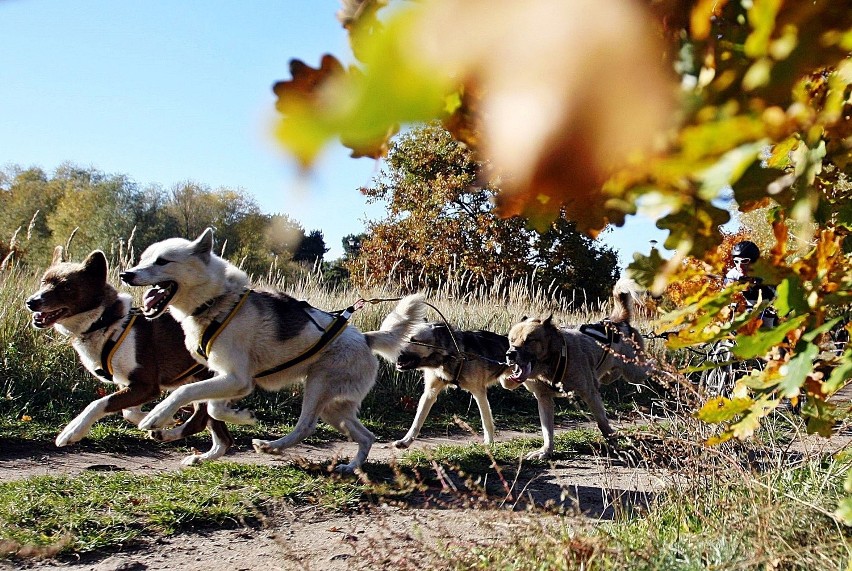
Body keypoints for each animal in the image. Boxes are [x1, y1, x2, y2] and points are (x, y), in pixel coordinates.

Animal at [120, 228, 426, 474]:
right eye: (143, 259)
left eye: (162, 261)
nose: (125, 274)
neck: (218, 303)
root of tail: (365, 337)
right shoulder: (229, 378)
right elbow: (215, 407)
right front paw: (240, 416)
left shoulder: (236, 378)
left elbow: (186, 393)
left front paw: (157, 415)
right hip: (334, 407)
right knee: (366, 437)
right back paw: (349, 467)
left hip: (318, 387)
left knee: (306, 426)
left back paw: (272, 446)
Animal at [506, 280, 644, 460]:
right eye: (511, 340)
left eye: (530, 340)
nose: (510, 354)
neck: (556, 358)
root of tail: (617, 321)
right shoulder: (544, 399)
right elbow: (547, 430)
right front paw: (546, 451)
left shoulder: (590, 394)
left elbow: (602, 423)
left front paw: (616, 446)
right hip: (612, 375)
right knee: (612, 375)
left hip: (636, 373)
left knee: (654, 369)